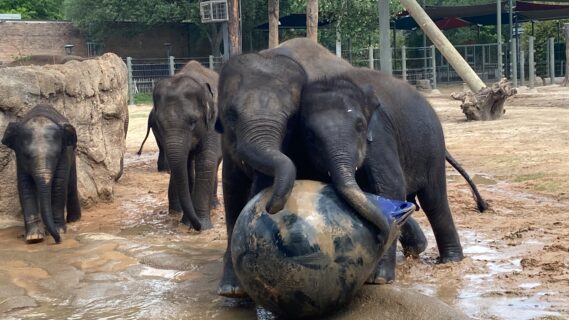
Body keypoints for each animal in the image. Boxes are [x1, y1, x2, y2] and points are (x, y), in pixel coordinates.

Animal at [1, 104, 81, 244]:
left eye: (56, 155)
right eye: (27, 156)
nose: (58, 241)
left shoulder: (65, 153)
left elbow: (59, 183)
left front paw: (59, 231)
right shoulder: (19, 158)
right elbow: (25, 185)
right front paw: (34, 237)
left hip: (73, 151)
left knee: (71, 183)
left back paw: (73, 219)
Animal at [146, 60, 222, 230]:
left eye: (193, 121)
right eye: (158, 123)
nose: (197, 225)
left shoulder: (213, 120)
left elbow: (206, 161)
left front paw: (203, 226)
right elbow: (184, 167)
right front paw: (186, 223)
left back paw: (214, 205)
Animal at [298, 69, 488, 284]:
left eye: (360, 126)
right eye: (309, 135)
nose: (381, 236)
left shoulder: (380, 134)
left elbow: (390, 186)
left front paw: (379, 280)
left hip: (432, 147)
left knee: (434, 201)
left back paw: (450, 261)